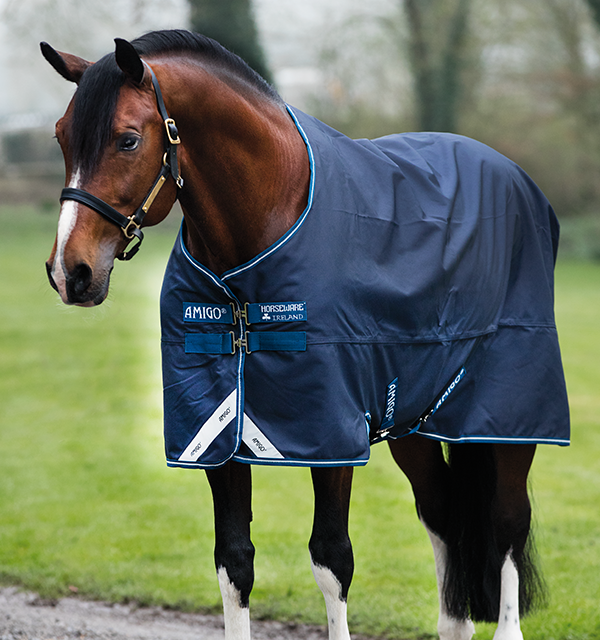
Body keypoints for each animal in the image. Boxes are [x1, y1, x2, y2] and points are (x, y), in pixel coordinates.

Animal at [41, 29, 569, 640]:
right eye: (61, 135)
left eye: (127, 140)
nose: (70, 272)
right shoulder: (217, 434)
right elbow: (234, 562)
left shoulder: (332, 435)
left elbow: (331, 558)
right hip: (415, 420)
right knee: (443, 517)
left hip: (506, 418)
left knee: (506, 523)